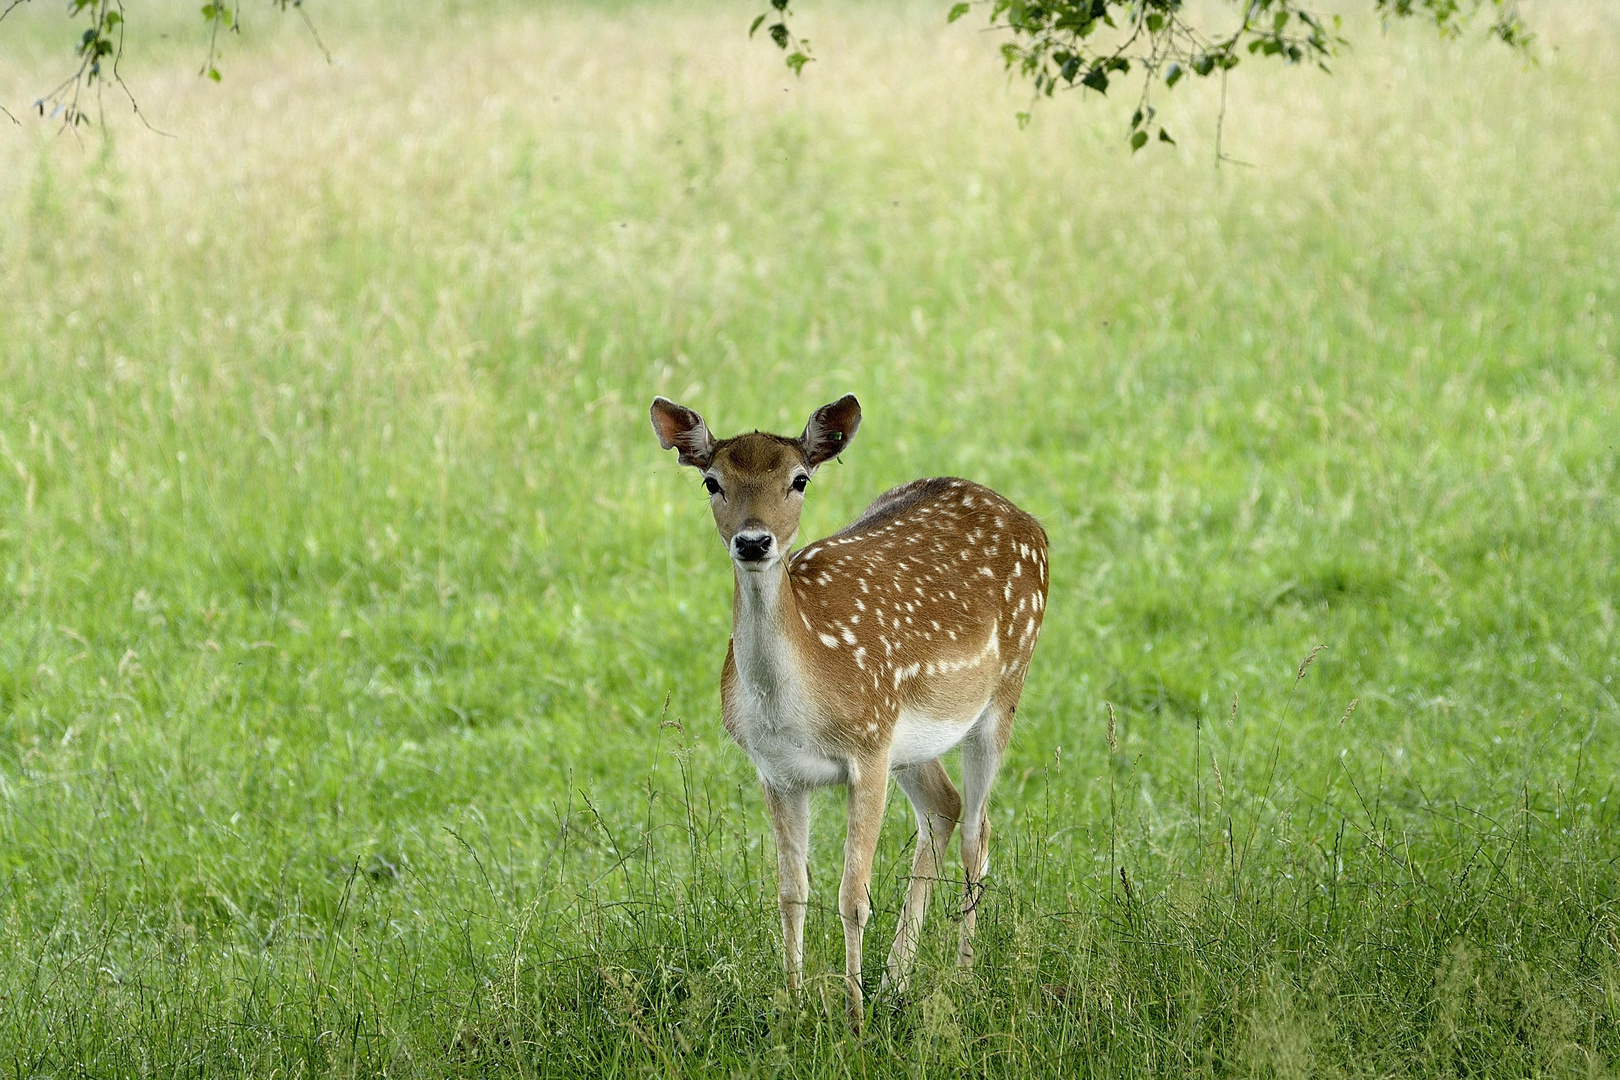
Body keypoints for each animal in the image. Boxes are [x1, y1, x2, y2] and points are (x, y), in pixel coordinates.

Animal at [648, 395, 1049, 1029]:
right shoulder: (778, 771)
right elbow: (791, 891)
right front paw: (794, 1008)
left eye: (799, 479)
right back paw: (895, 980)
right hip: (910, 739)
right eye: (712, 481)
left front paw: (854, 1020)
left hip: (1000, 692)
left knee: (977, 834)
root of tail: (1035, 525)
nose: (754, 542)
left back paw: (959, 979)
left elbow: (853, 898)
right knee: (945, 808)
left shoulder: (867, 750)